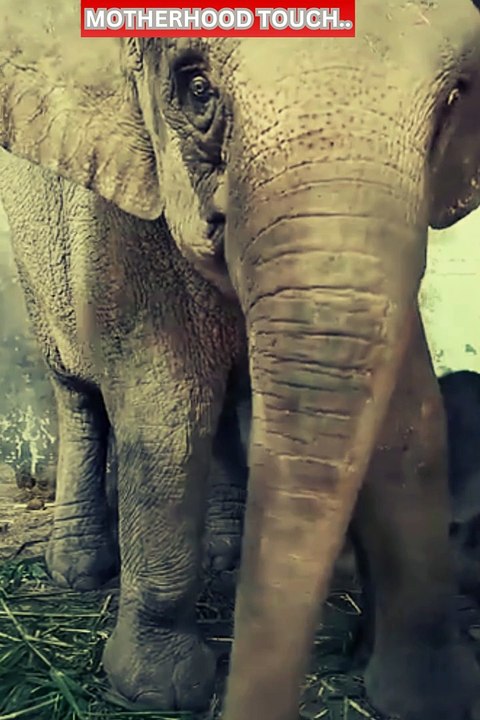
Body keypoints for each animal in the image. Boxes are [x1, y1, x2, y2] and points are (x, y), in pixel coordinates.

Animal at [2, 2, 480, 720]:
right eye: (196, 87)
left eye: (456, 98)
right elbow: (166, 411)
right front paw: (159, 687)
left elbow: (409, 420)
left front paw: (431, 695)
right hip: (33, 258)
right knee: (79, 392)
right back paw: (81, 572)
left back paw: (226, 553)